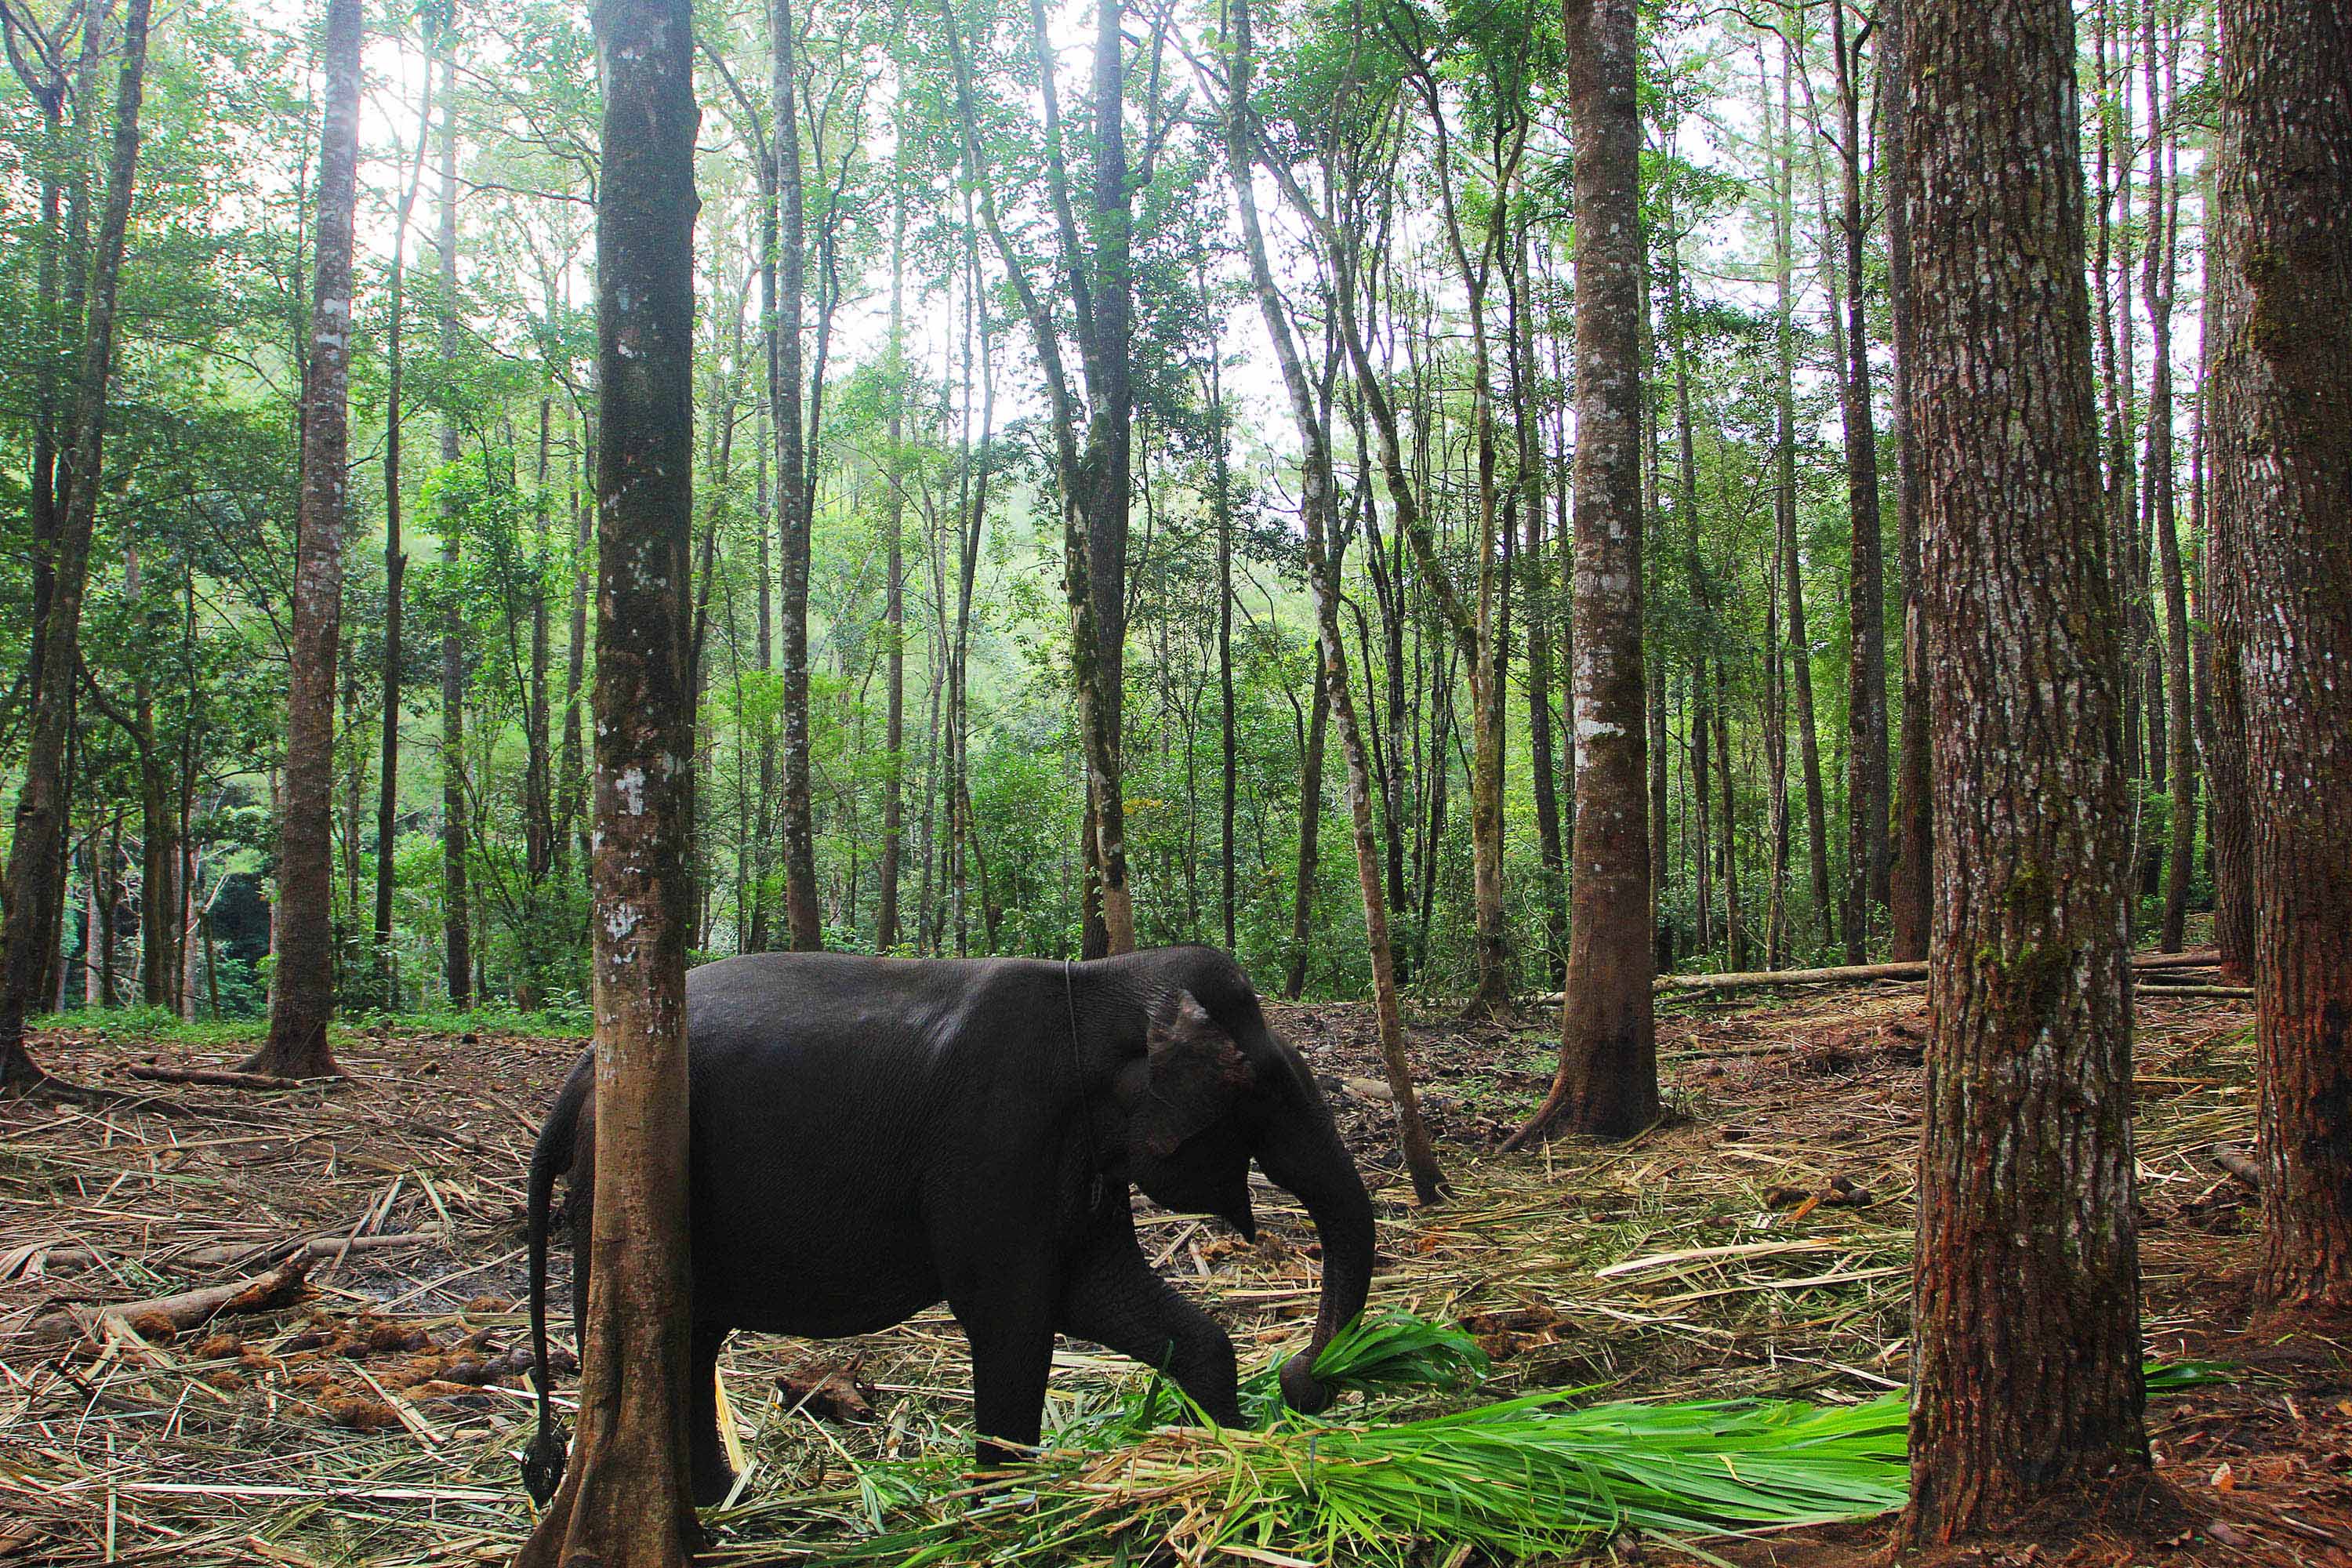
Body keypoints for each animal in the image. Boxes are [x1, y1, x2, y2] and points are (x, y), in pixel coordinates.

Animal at [520, 945, 1374, 1504]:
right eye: (1261, 1087)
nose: (1304, 1383)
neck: (1096, 982)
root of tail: (583, 1067)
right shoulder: (996, 1139)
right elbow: (1014, 1322)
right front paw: (997, 1516)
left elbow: (1103, 1297)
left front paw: (1231, 1453)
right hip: (617, 1180)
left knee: (694, 1337)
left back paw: (723, 1499)